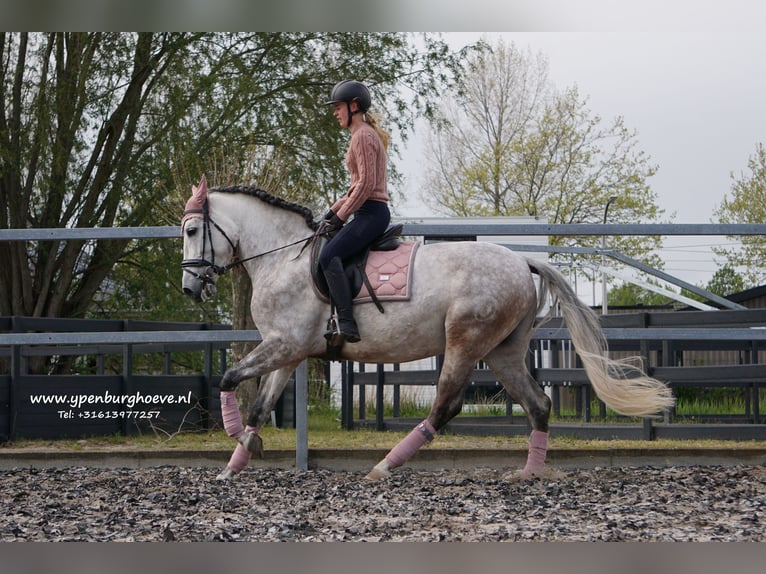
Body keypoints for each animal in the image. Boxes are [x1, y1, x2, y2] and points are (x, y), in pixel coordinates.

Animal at [178, 176, 672, 482]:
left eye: (191, 230)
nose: (190, 287)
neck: (284, 256)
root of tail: (521, 260)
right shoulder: (289, 350)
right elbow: (260, 406)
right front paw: (236, 461)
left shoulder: (285, 344)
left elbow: (229, 379)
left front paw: (235, 439)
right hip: (503, 352)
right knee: (539, 403)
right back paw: (530, 472)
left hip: (465, 342)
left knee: (446, 406)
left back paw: (384, 466)